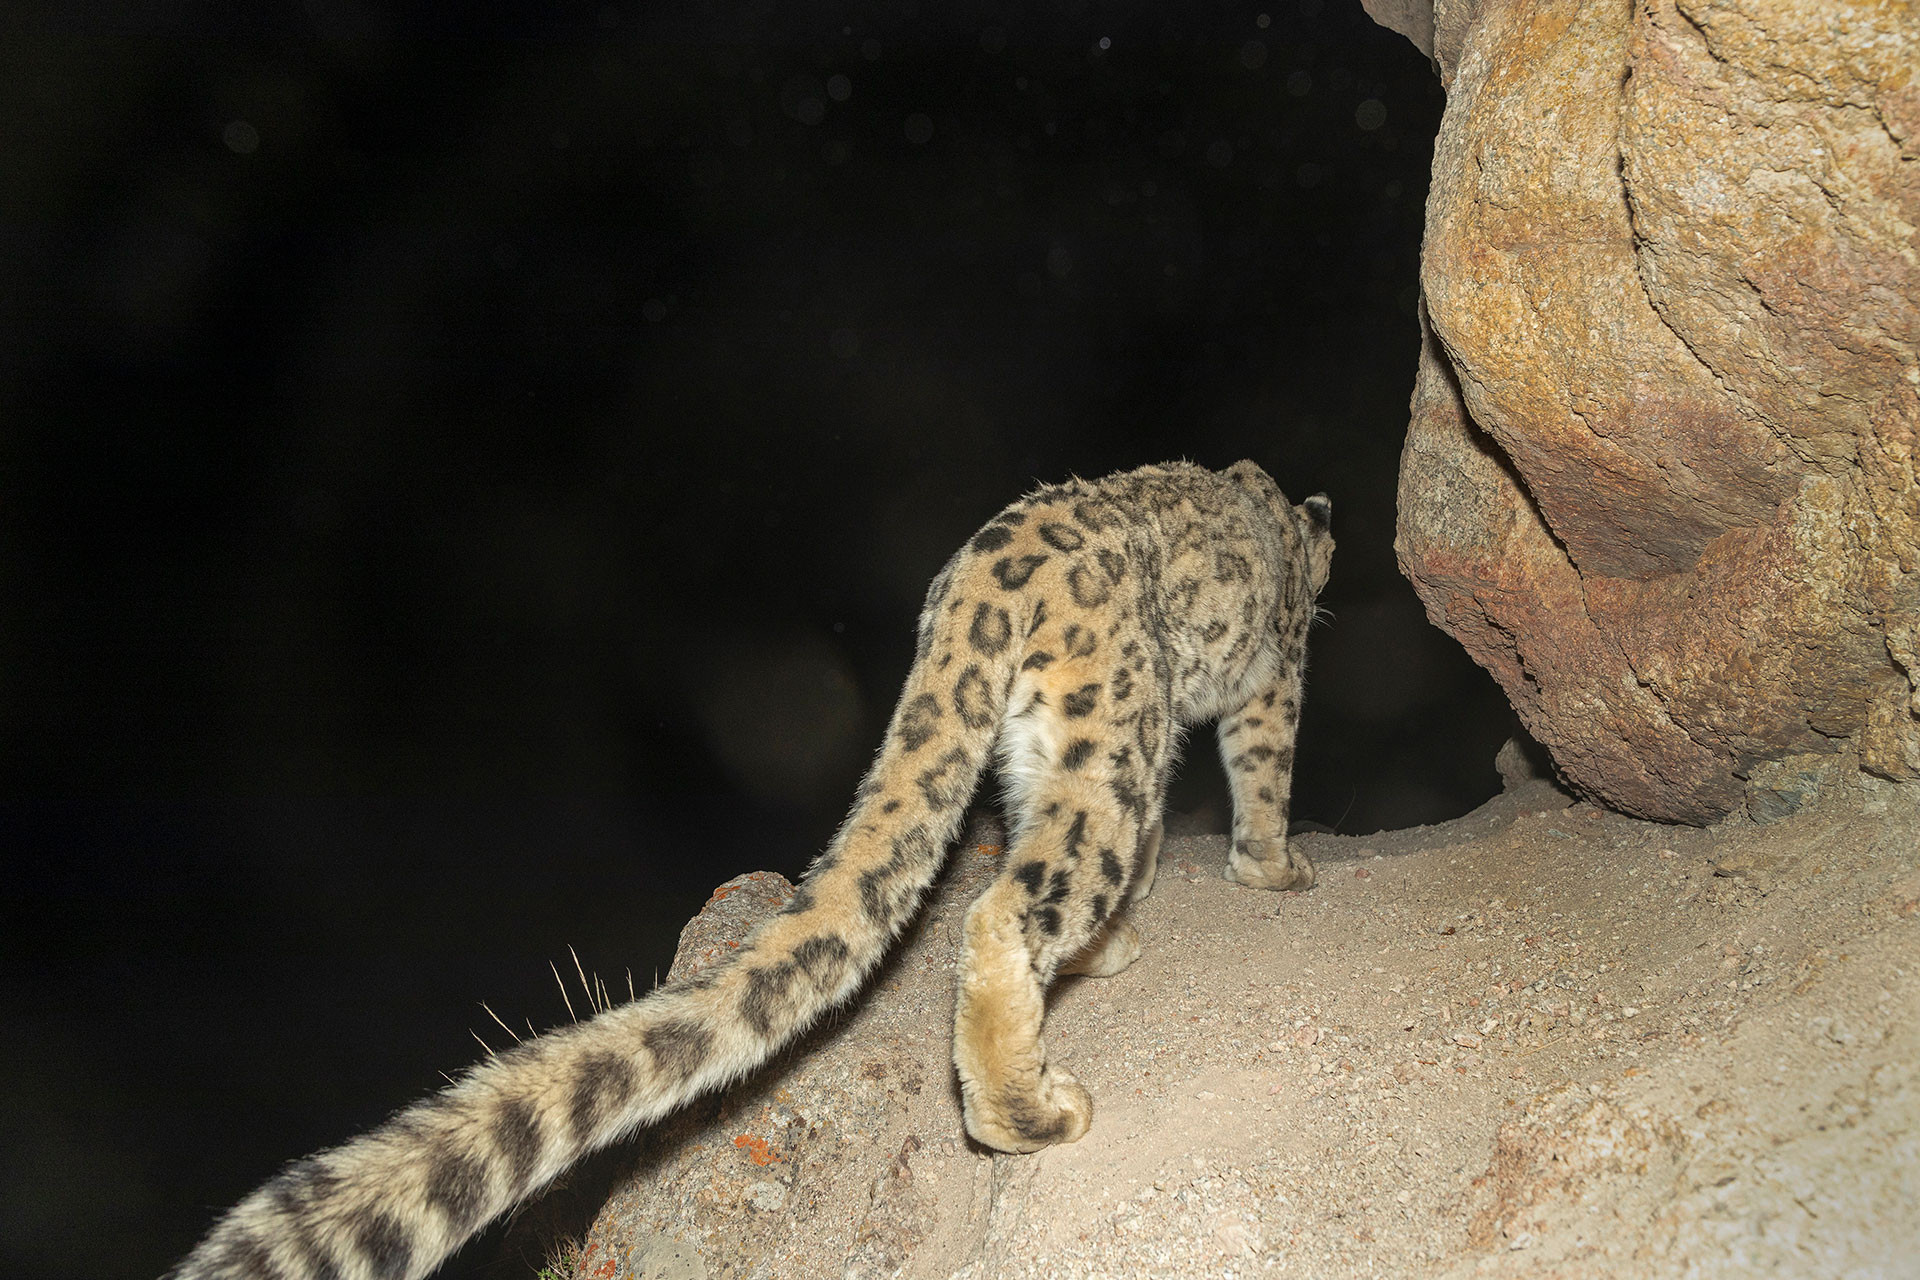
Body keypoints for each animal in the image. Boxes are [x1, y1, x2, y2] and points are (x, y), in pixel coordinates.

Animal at [170, 459, 1334, 1280]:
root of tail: (976, 575)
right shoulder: (1273, 677)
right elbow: (1264, 776)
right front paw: (1277, 871)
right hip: (1111, 750)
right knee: (1011, 904)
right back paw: (1034, 1108)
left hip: (1047, 745)